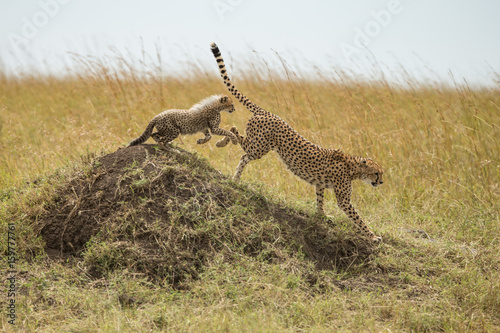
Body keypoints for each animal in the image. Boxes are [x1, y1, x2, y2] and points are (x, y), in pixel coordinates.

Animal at [209, 42, 384, 241]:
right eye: (376, 173)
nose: (381, 182)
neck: (353, 167)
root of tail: (268, 112)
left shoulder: (320, 184)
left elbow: (320, 200)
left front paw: (322, 216)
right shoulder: (344, 200)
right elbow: (358, 218)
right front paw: (372, 236)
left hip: (257, 145)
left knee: (239, 142)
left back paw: (230, 163)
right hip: (259, 147)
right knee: (238, 139)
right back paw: (226, 152)